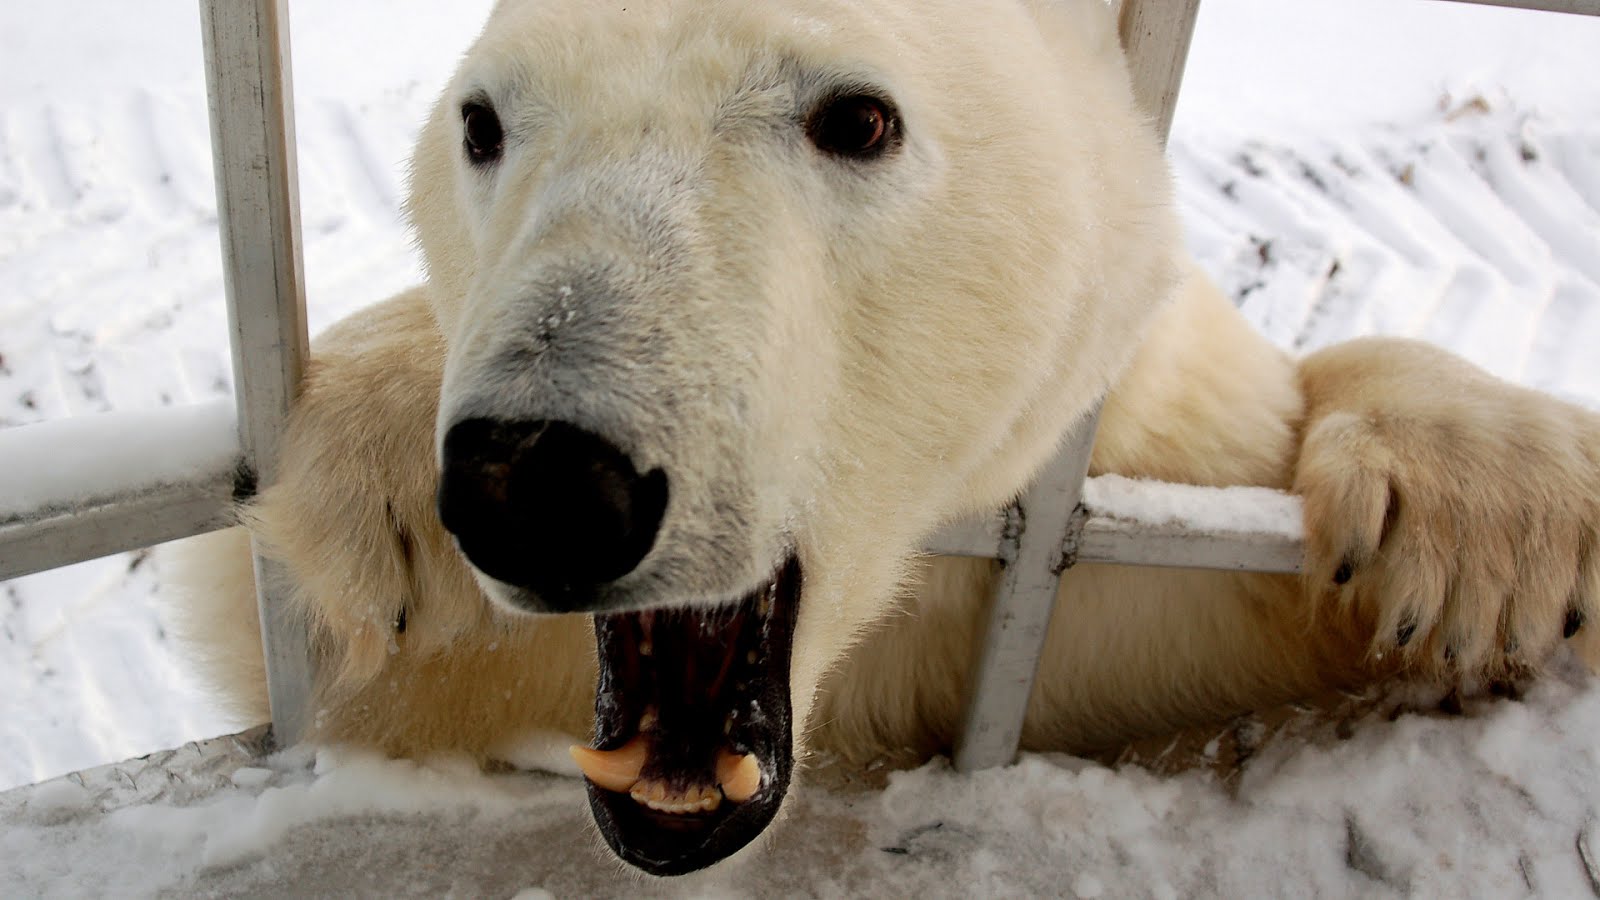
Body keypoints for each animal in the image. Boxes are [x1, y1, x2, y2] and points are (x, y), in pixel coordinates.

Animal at [175, 0, 1600, 877]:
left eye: (856, 117)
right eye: (482, 123)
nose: (535, 482)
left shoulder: (1144, 563)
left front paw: (1484, 525)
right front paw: (370, 492)